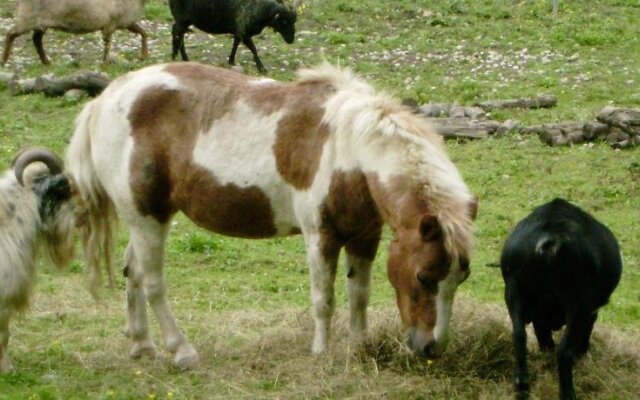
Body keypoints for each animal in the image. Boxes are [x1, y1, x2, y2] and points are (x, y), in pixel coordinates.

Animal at [1, 0, 149, 66]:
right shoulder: (110, 24)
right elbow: (107, 44)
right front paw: (105, 63)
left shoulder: (127, 22)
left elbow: (144, 33)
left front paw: (143, 56)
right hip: (28, 17)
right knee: (10, 33)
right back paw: (4, 61)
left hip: (40, 23)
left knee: (36, 40)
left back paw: (46, 62)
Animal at [67, 62, 478, 368]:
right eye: (424, 276)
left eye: (461, 277)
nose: (432, 348)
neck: (348, 150)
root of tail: (106, 98)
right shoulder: (320, 236)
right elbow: (324, 299)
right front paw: (321, 352)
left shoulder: (364, 237)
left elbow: (358, 294)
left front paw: (359, 346)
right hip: (146, 217)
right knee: (153, 283)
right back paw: (181, 351)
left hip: (149, 218)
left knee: (133, 272)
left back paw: (142, 345)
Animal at [170, 0, 300, 72]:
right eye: (284, 22)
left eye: (294, 21)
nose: (291, 40)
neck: (260, 9)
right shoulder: (244, 32)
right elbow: (254, 49)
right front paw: (262, 68)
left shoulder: (239, 30)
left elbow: (236, 43)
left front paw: (231, 60)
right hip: (182, 18)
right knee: (176, 33)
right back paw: (176, 56)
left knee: (179, 34)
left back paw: (182, 58)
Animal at [502, 199, 624, 400]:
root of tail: (550, 239)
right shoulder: (589, 311)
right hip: (577, 304)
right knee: (564, 352)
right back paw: (567, 393)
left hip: (514, 292)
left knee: (519, 337)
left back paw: (522, 386)